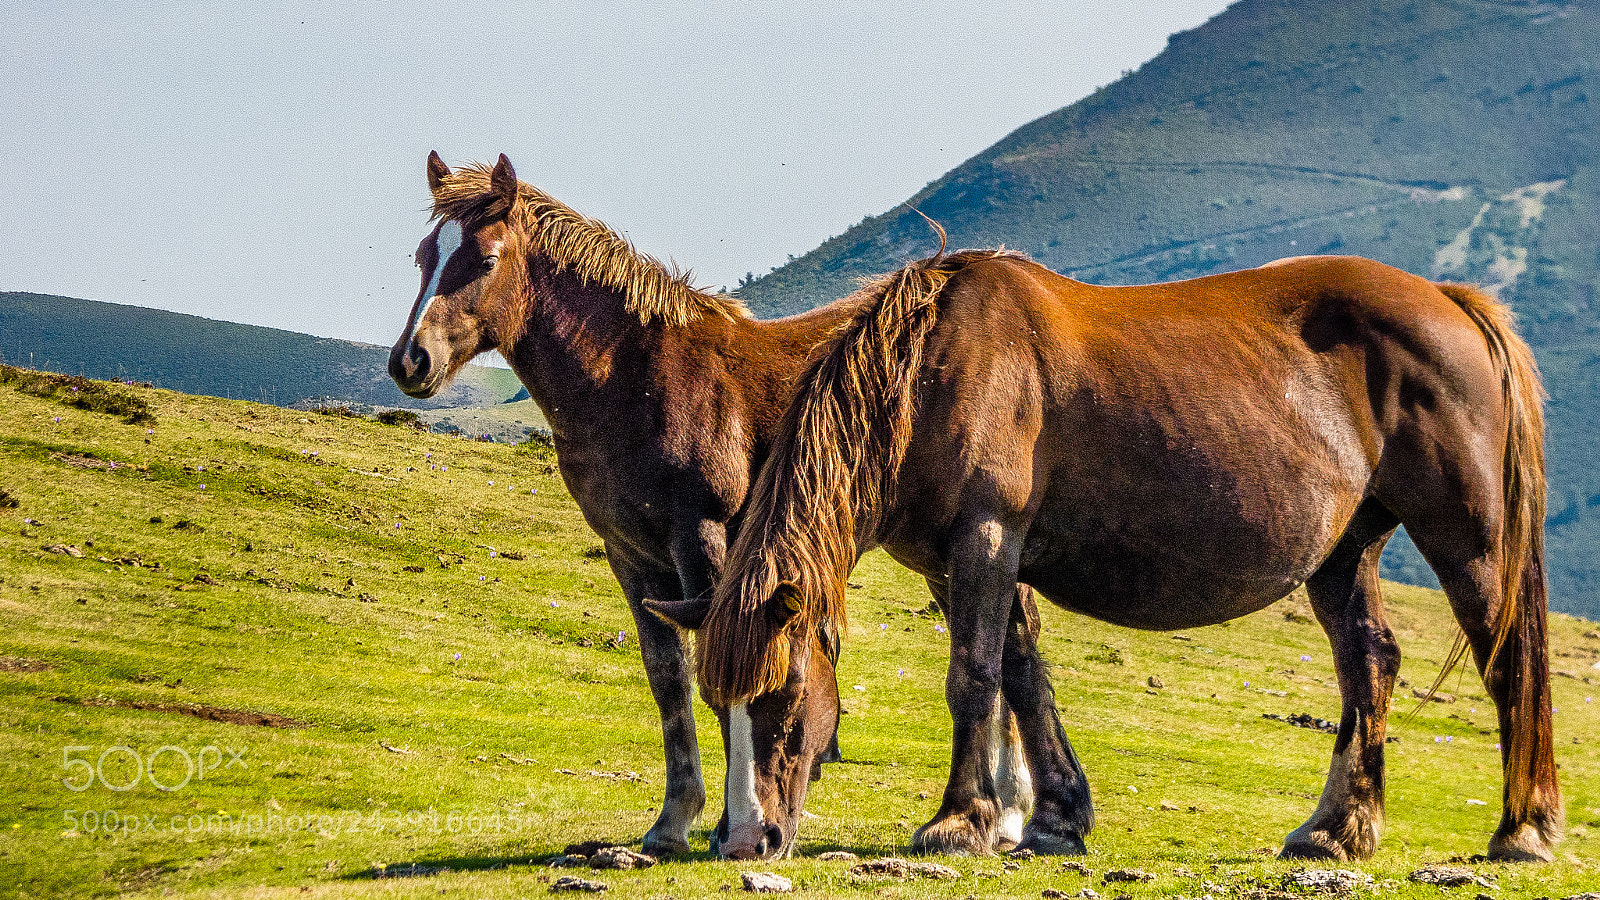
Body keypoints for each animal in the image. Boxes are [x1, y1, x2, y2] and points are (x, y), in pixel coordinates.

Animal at [386, 154, 1035, 854]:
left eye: (483, 259)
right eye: (422, 257)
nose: (411, 361)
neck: (634, 379)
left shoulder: (704, 536)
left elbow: (720, 668)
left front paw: (731, 819)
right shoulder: (630, 554)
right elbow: (669, 680)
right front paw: (673, 820)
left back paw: (1006, 811)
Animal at [649, 247, 1560, 863]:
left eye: (784, 695)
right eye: (718, 701)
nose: (745, 840)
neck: (932, 373)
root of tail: (1448, 301)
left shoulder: (987, 534)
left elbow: (974, 678)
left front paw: (958, 821)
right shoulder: (958, 559)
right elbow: (1022, 676)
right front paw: (1054, 817)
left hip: (1468, 540)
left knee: (1510, 661)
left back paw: (1523, 830)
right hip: (1344, 552)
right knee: (1369, 662)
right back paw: (1337, 829)